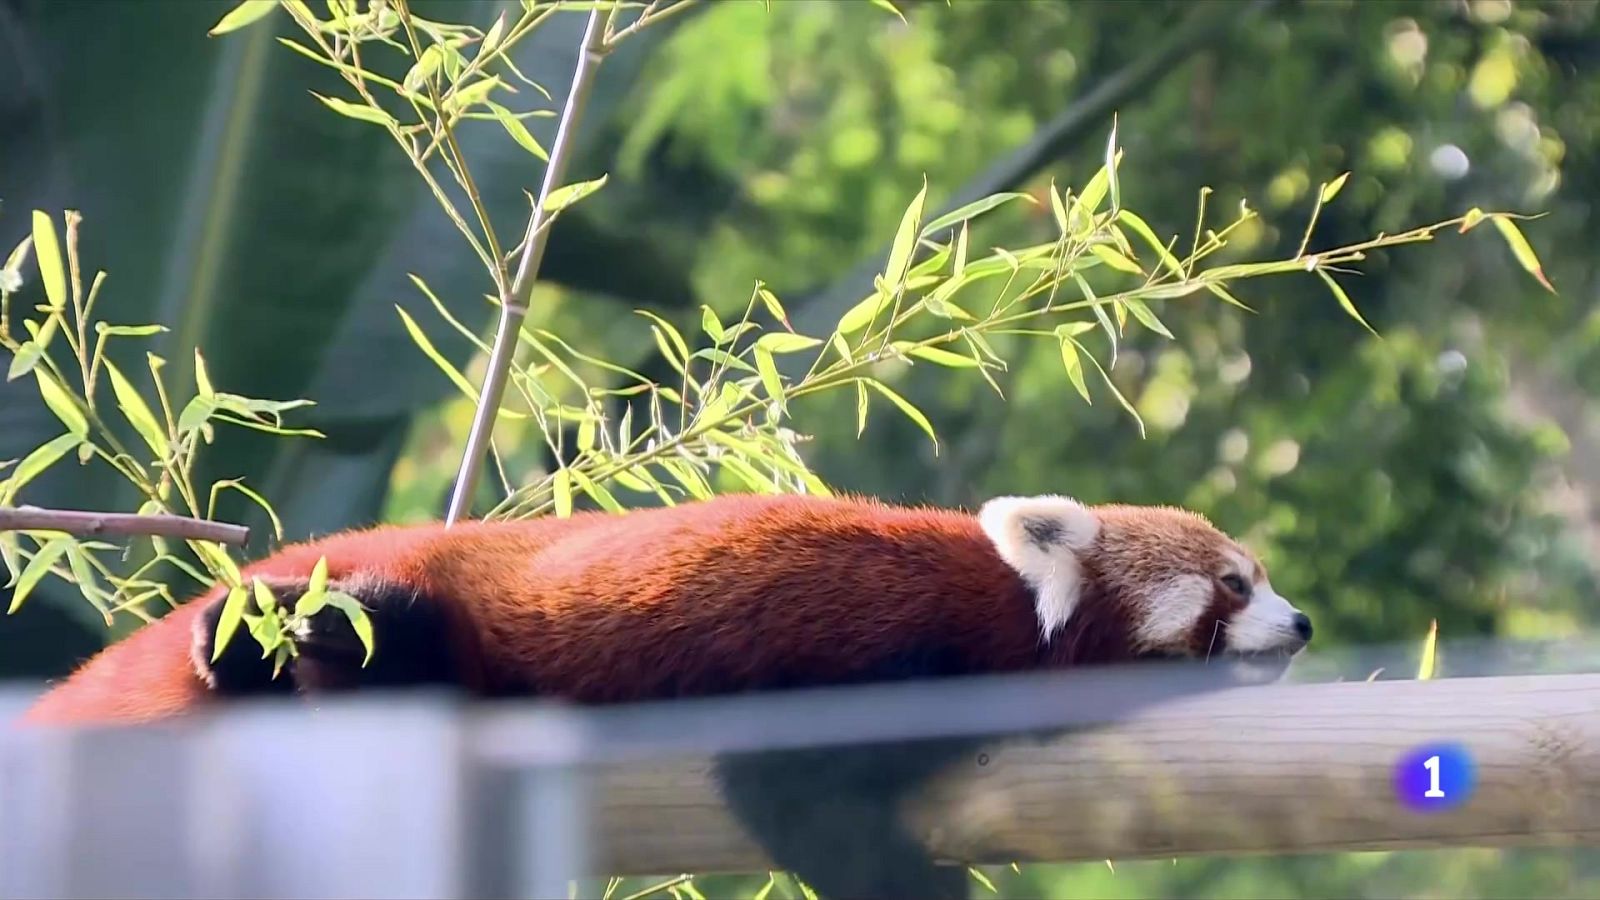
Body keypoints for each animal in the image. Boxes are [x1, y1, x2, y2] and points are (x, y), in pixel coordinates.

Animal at [18, 492, 1312, 898]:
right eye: (1232, 584)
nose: (1300, 624)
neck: (1003, 608)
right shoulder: (865, 652)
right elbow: (792, 798)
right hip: (421, 617)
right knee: (367, 631)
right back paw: (239, 646)